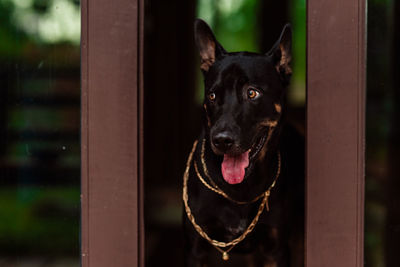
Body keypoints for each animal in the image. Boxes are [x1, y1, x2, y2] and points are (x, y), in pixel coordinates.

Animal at [183, 19, 304, 267]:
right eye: (212, 96)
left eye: (252, 93)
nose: (221, 140)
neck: (239, 192)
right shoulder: (195, 250)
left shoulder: (276, 250)